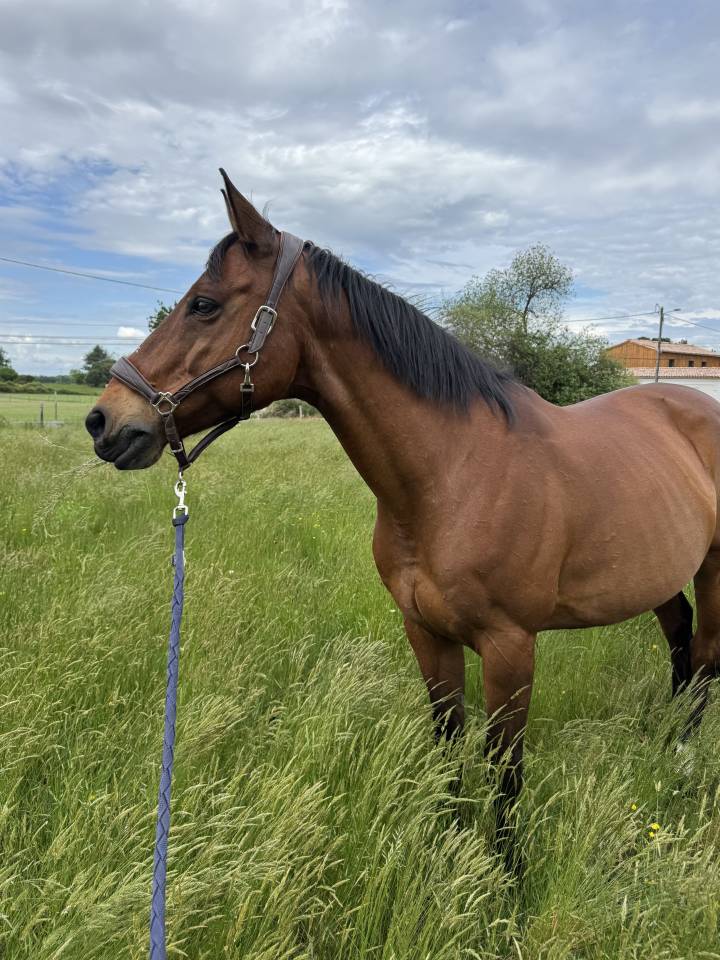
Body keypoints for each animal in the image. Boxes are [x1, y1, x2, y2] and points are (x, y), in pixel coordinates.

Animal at [86, 170, 720, 845]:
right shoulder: (427, 634)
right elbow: (448, 743)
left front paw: (504, 866)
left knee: (706, 654)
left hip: (711, 568)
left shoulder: (511, 647)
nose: (103, 421)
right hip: (655, 572)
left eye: (203, 304)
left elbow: (505, 771)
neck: (454, 474)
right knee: (681, 642)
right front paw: (450, 844)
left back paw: (683, 760)